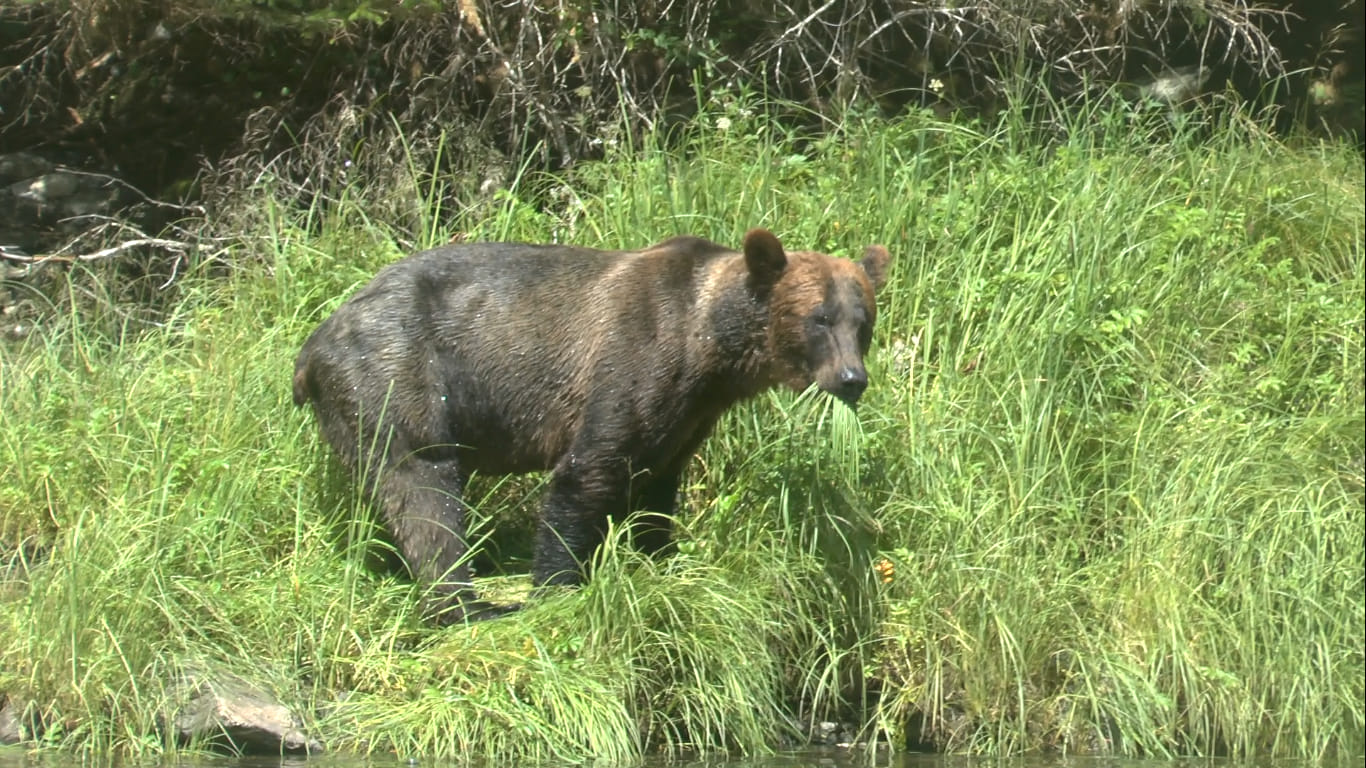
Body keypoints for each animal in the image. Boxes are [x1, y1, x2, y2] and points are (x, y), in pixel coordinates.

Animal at [293, 228, 891, 623]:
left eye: (862, 321)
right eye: (819, 318)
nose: (851, 379)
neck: (707, 346)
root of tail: (313, 343)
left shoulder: (687, 414)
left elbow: (657, 485)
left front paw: (658, 556)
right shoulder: (630, 360)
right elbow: (587, 473)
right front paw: (557, 584)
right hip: (396, 375)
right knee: (422, 488)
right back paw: (468, 603)